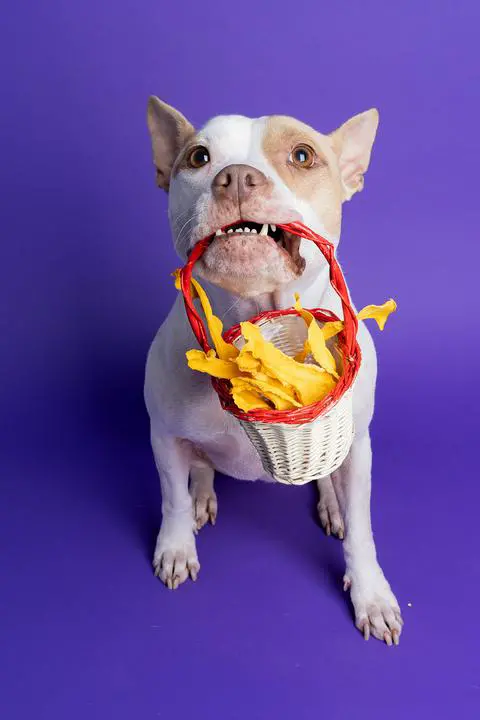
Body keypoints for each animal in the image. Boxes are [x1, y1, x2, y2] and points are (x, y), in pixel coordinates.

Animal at [144, 97, 404, 648]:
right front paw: (176, 547)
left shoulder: (358, 445)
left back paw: (331, 506)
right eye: (198, 157)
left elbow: (363, 528)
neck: (255, 323)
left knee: (332, 487)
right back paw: (203, 497)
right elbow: (171, 498)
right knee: (200, 469)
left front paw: (371, 594)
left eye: (303, 155)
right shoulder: (163, 437)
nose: (237, 177)